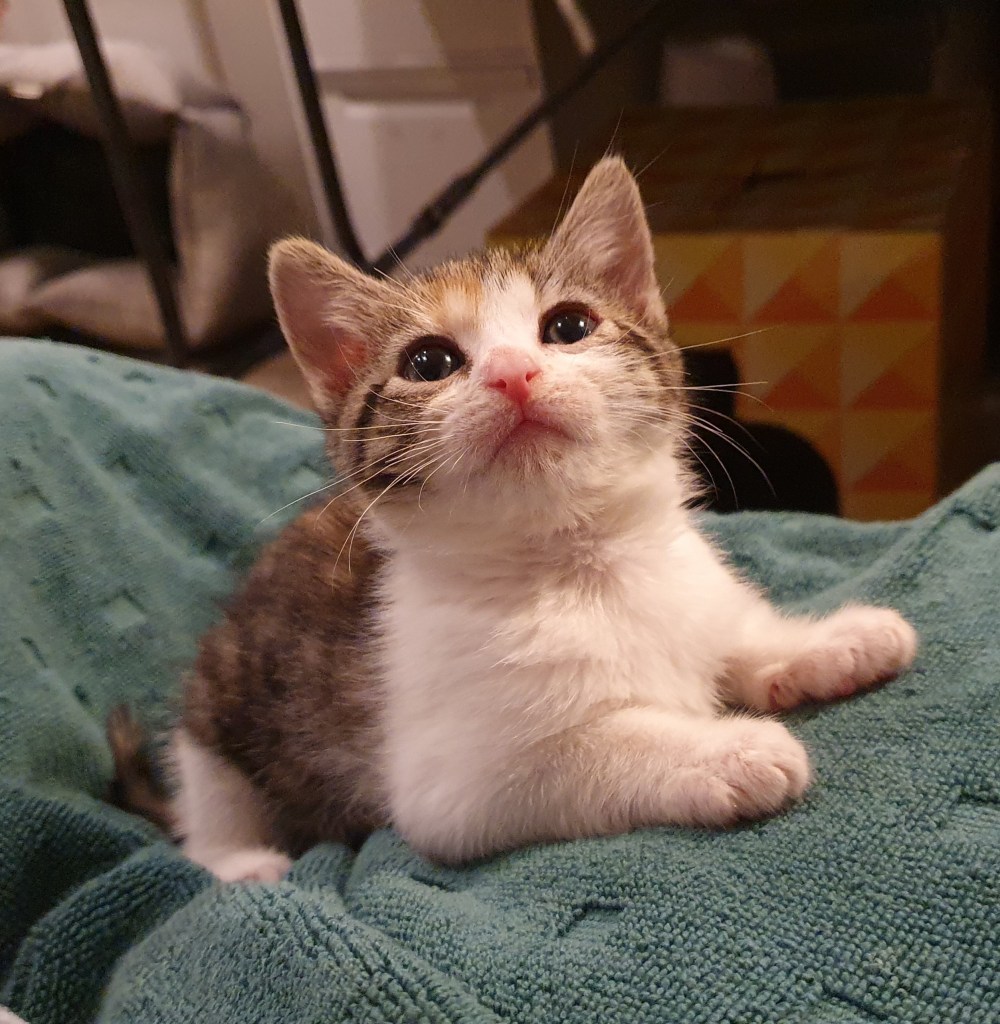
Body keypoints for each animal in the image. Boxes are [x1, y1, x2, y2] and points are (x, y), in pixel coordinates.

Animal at [164, 157, 916, 882]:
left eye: (569, 327)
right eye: (428, 362)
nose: (512, 372)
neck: (583, 560)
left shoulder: (690, 593)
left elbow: (735, 637)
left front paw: (832, 642)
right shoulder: (453, 788)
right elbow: (592, 749)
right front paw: (728, 752)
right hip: (214, 711)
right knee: (206, 808)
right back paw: (242, 864)